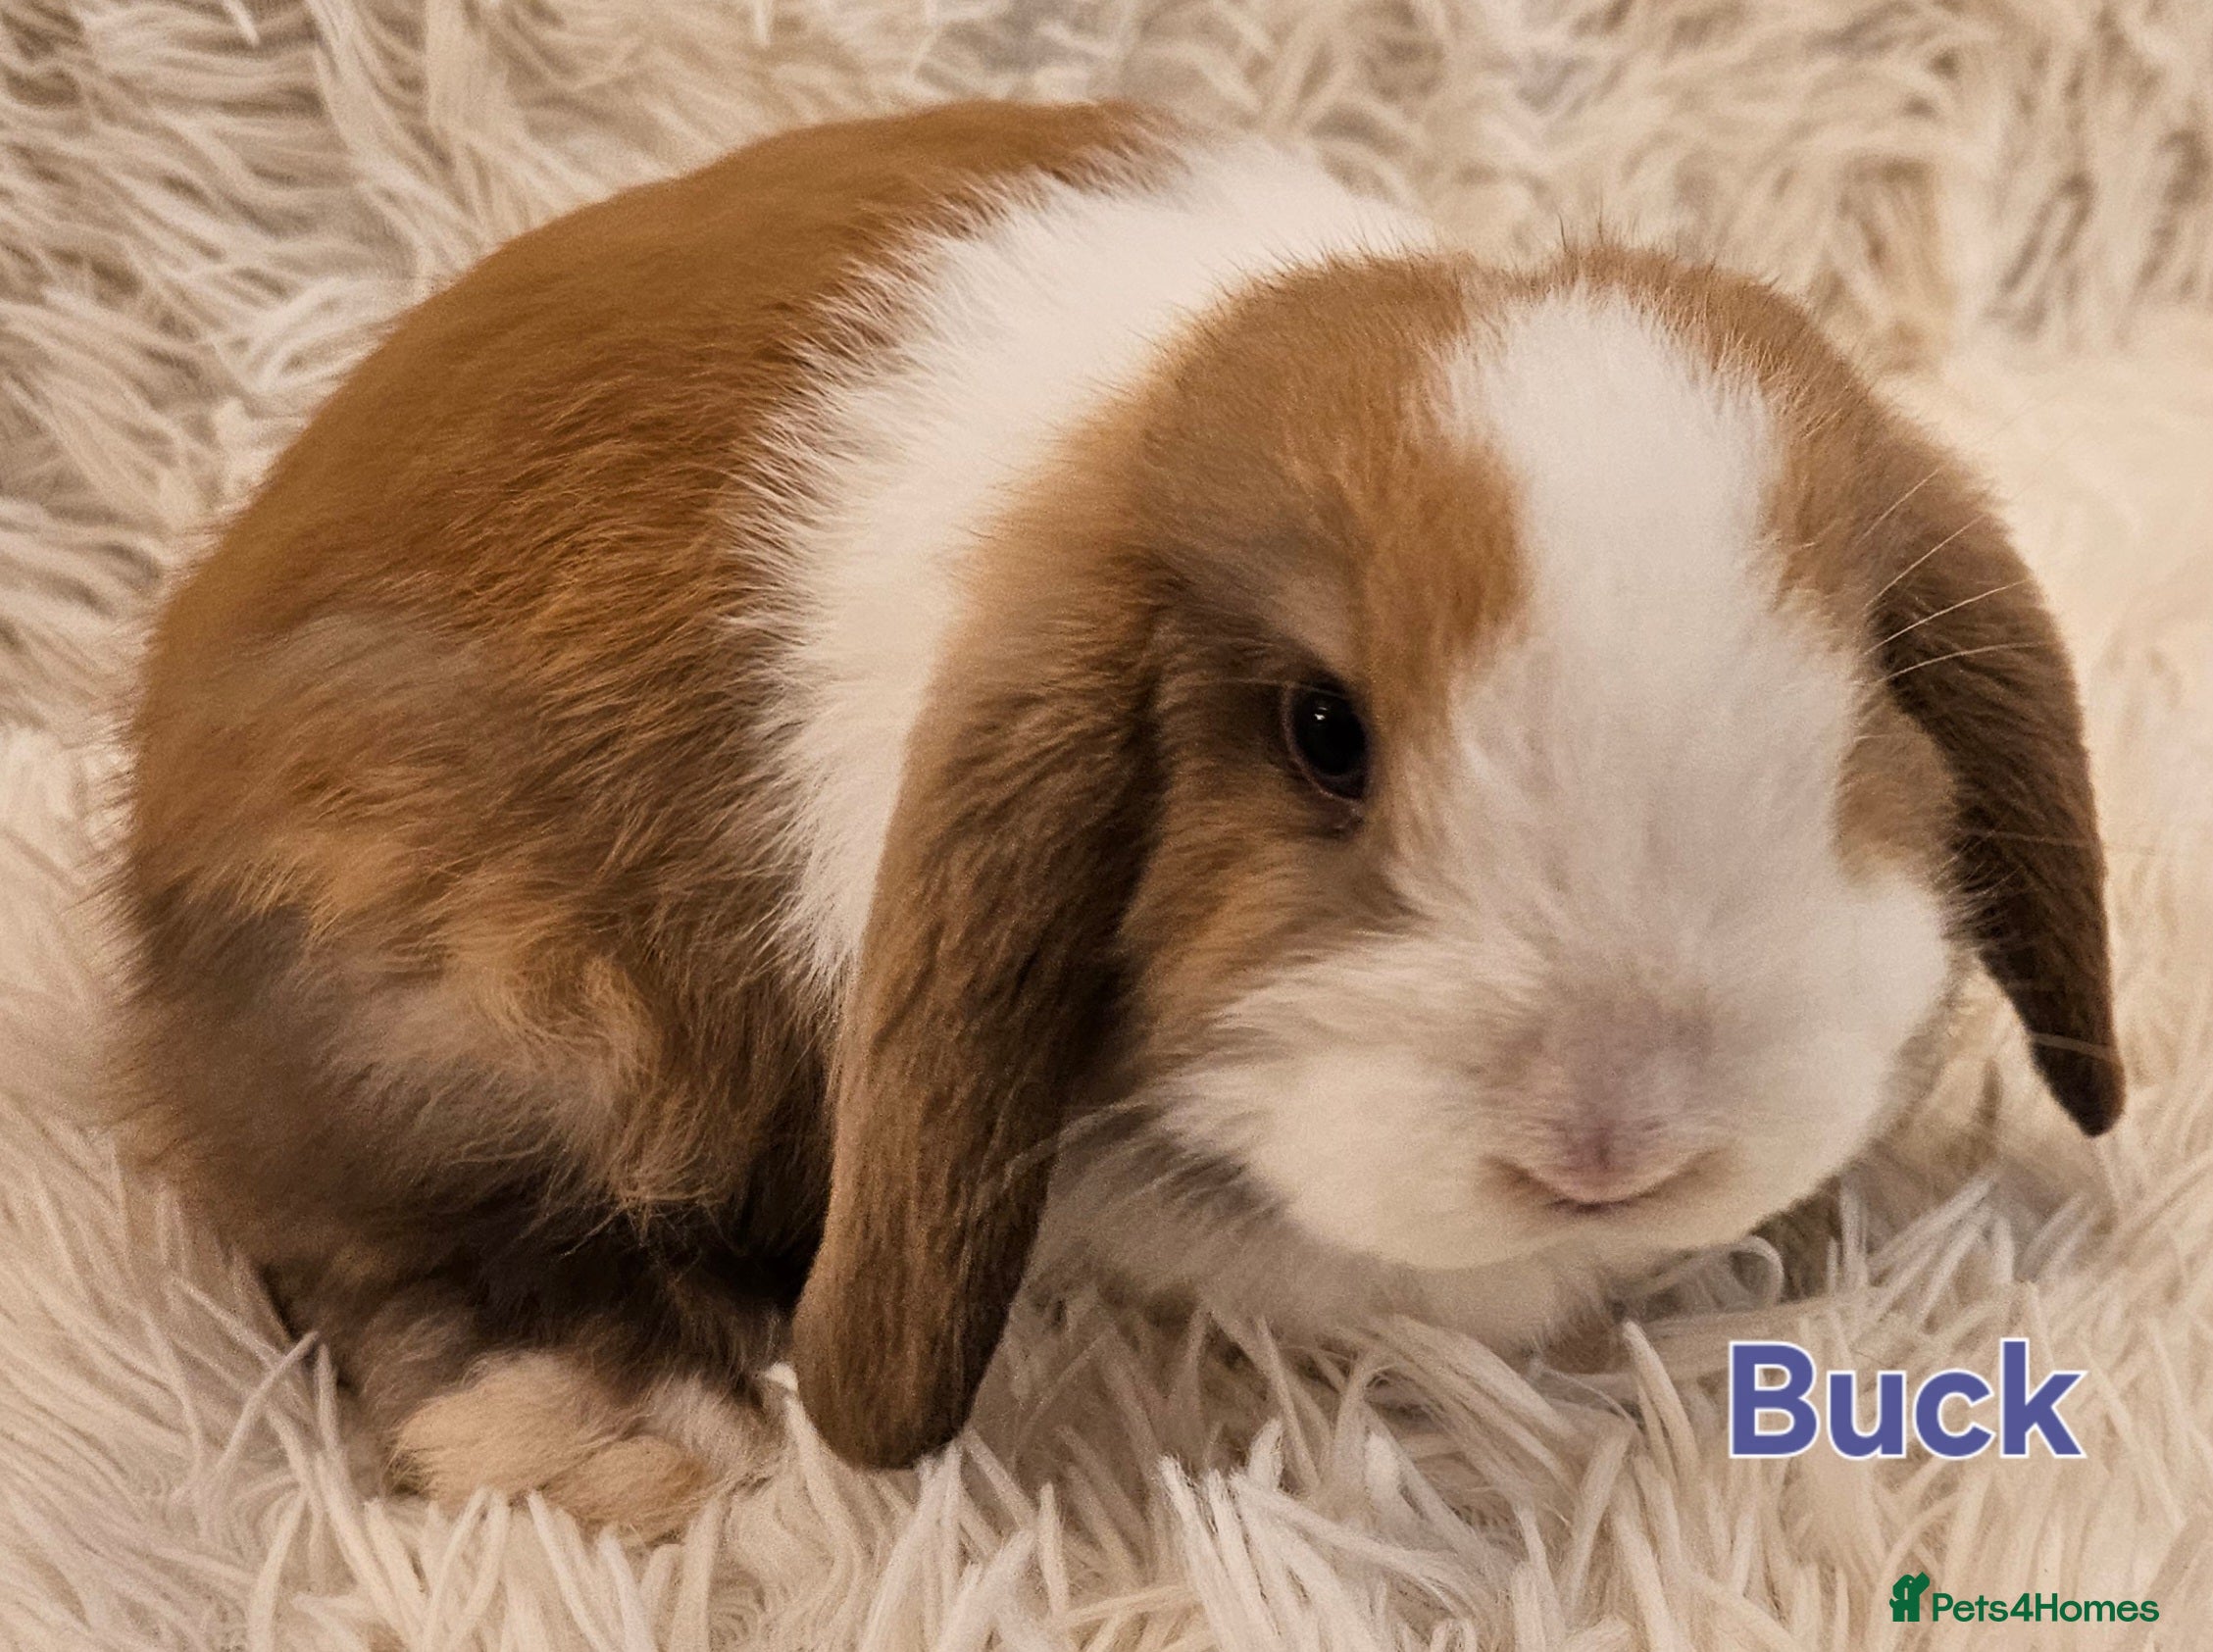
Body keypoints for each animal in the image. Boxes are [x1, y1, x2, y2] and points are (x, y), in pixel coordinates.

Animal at [117, 98, 2122, 1532]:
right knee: (376, 1223)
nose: (1616, 1136)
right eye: (1321, 735)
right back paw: (623, 1426)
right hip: (463, 989)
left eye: (1859, 701)